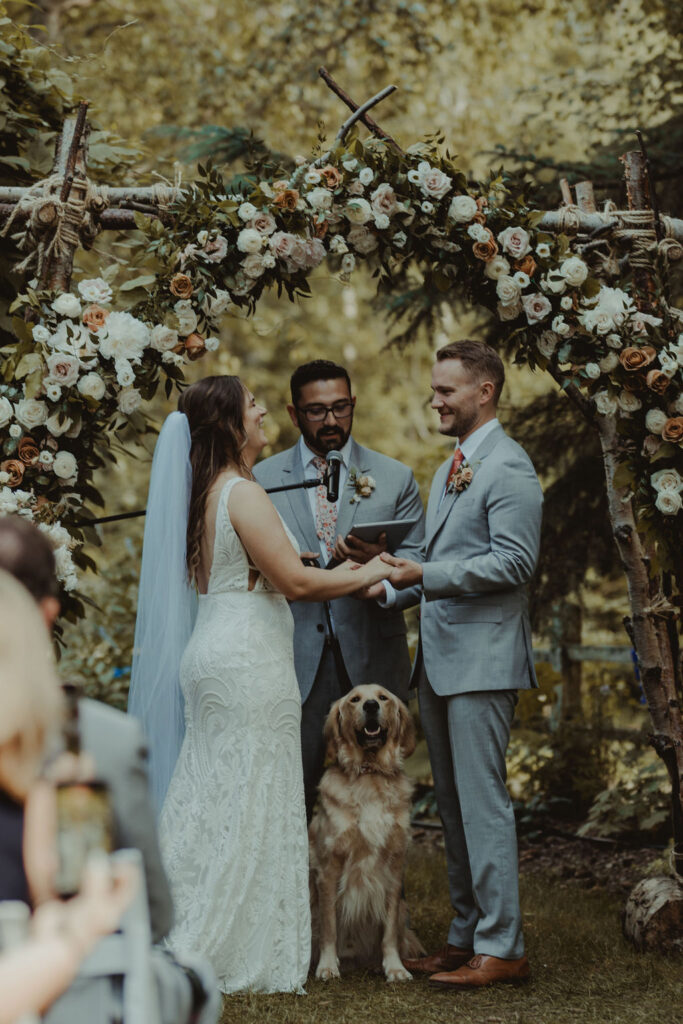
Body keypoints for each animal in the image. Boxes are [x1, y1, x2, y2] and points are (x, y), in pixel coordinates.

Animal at [309, 684, 423, 978]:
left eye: (383, 697)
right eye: (354, 699)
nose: (371, 706)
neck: (370, 773)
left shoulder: (394, 866)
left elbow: (390, 930)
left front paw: (394, 968)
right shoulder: (328, 866)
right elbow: (328, 926)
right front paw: (327, 966)